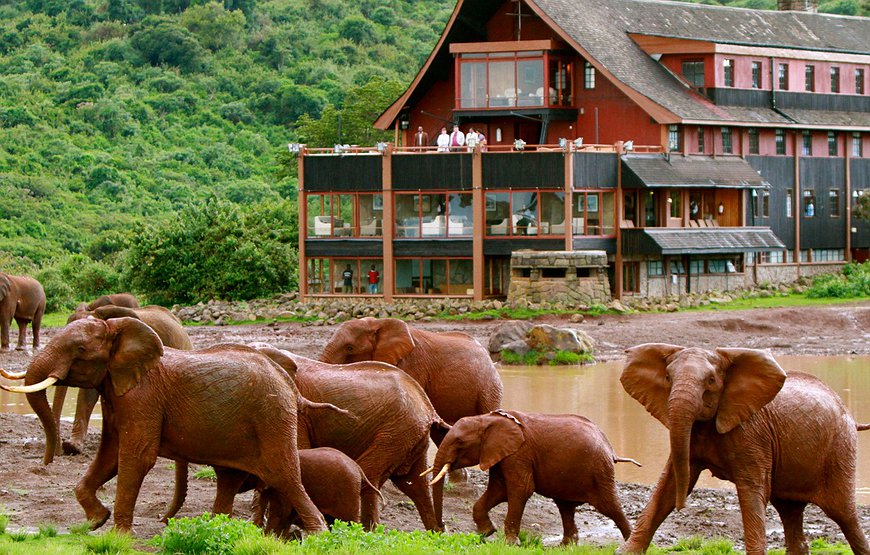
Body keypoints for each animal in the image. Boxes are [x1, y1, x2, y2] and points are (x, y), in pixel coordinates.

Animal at [430, 410, 640, 544]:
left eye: (459, 442)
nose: (442, 529)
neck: (486, 419)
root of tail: (610, 448)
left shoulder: (518, 454)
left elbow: (520, 491)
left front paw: (510, 543)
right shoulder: (501, 456)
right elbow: (498, 491)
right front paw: (487, 532)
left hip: (599, 470)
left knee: (610, 506)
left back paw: (629, 544)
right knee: (565, 507)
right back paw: (565, 546)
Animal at [620, 344, 870, 555]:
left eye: (711, 380)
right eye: (668, 378)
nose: (682, 507)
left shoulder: (752, 434)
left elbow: (752, 491)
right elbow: (667, 487)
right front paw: (627, 552)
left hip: (840, 450)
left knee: (844, 515)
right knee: (790, 512)